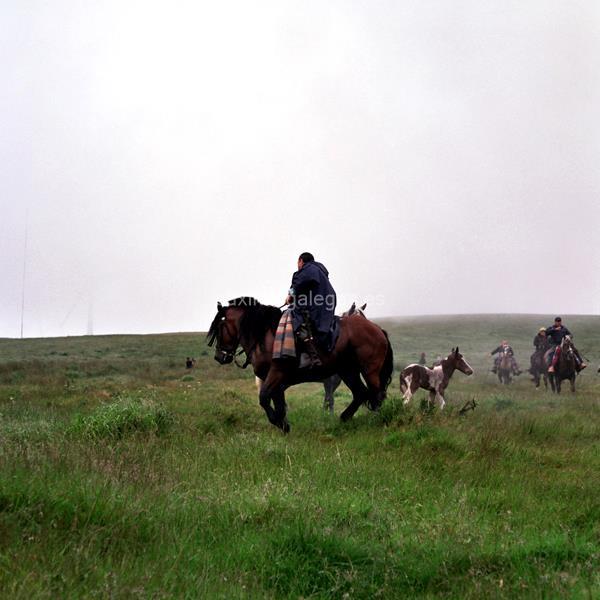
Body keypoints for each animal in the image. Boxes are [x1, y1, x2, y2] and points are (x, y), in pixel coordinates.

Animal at [207, 296, 394, 432]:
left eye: (219, 326)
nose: (219, 356)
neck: (264, 337)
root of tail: (377, 329)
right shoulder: (275, 380)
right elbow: (279, 404)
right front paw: (284, 426)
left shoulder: (276, 375)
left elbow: (265, 399)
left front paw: (279, 423)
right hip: (349, 371)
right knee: (361, 393)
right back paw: (344, 419)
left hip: (369, 371)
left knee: (376, 395)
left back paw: (375, 421)